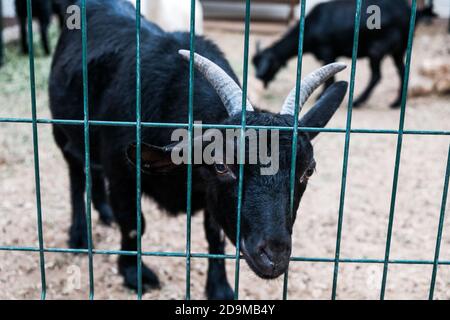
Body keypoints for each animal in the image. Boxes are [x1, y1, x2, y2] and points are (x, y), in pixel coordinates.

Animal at [49, 0, 350, 300]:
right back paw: (79, 236)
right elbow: (134, 223)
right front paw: (135, 275)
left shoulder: (209, 193)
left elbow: (214, 234)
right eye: (222, 165)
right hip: (61, 130)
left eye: (308, 171)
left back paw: (103, 211)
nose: (273, 256)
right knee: (76, 172)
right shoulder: (122, 172)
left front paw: (219, 288)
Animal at [253, 0, 436, 109]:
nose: (258, 77)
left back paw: (358, 102)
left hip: (377, 50)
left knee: (377, 75)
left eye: (267, 65)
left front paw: (320, 97)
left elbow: (330, 79)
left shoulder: (327, 51)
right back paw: (396, 103)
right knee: (402, 72)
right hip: (398, 50)